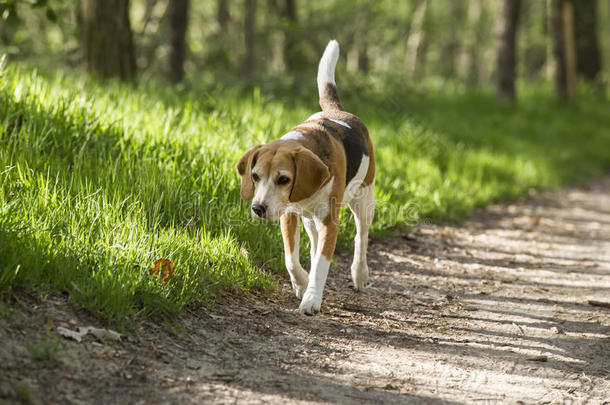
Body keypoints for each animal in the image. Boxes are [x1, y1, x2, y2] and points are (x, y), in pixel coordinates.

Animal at [235, 40, 372, 312]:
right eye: (254, 176)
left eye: (283, 179)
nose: (258, 208)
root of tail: (337, 111)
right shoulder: (288, 215)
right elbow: (291, 259)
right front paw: (302, 284)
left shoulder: (330, 222)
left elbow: (321, 264)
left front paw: (311, 299)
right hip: (309, 219)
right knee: (316, 240)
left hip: (363, 200)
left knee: (360, 237)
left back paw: (359, 274)